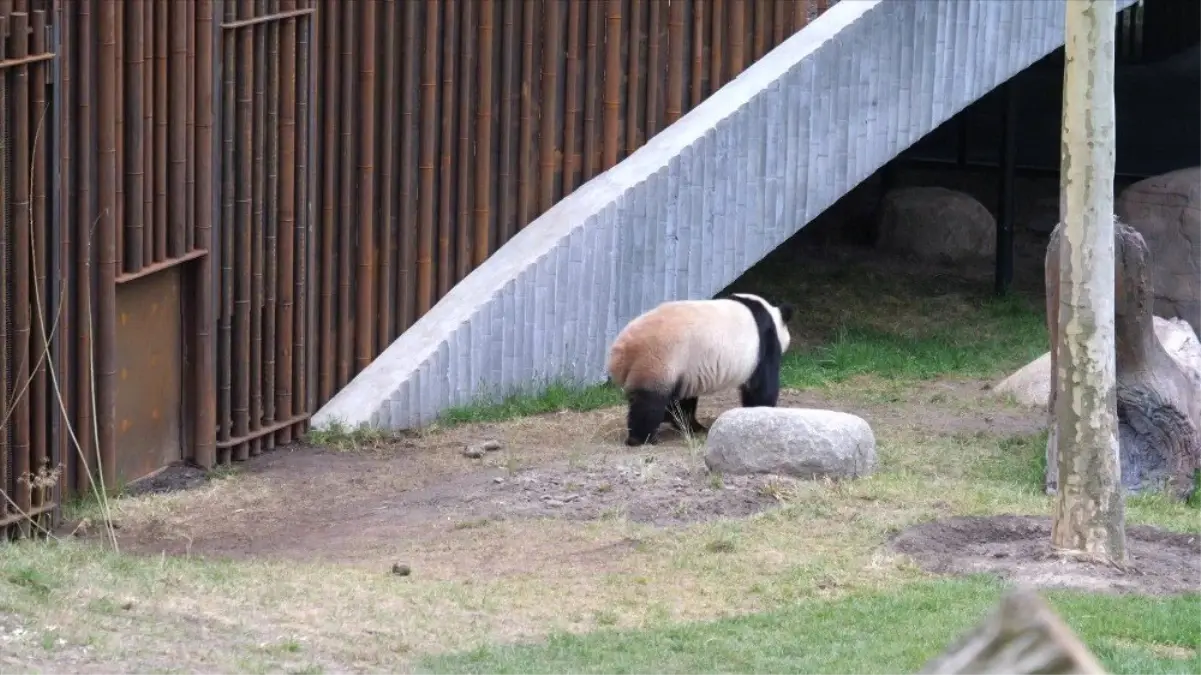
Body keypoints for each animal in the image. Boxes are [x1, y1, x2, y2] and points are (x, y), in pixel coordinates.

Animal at [605, 290, 792, 444]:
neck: (770, 315)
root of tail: (621, 351)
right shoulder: (764, 341)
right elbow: (761, 384)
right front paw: (761, 410)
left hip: (674, 364)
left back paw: (689, 425)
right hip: (658, 359)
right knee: (649, 402)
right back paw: (642, 438)